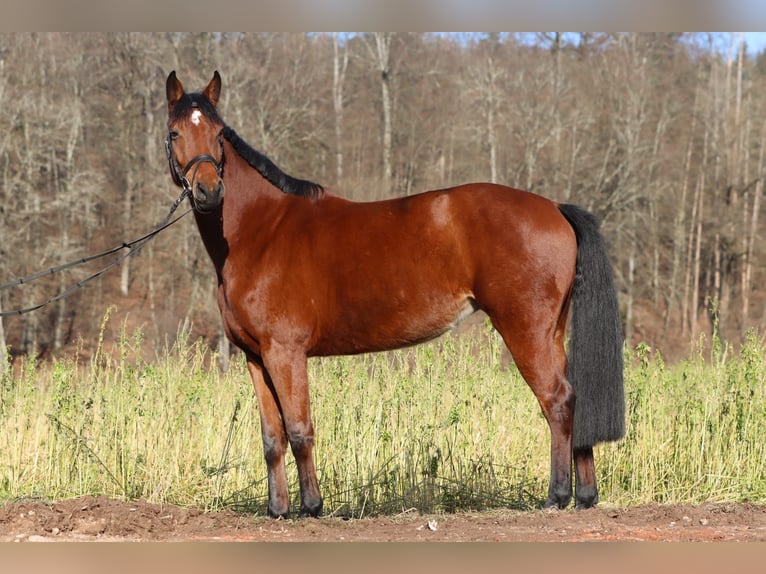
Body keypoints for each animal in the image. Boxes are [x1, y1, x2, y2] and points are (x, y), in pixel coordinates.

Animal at [164, 70, 624, 520]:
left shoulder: (285, 353)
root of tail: (554, 207)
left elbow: (299, 430)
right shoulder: (256, 358)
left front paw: (312, 507)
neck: (261, 230)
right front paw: (277, 510)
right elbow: (272, 437)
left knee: (557, 400)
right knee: (574, 398)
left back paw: (557, 496)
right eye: (174, 132)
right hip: (551, 333)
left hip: (525, 331)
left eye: (219, 134)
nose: (209, 191)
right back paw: (585, 495)